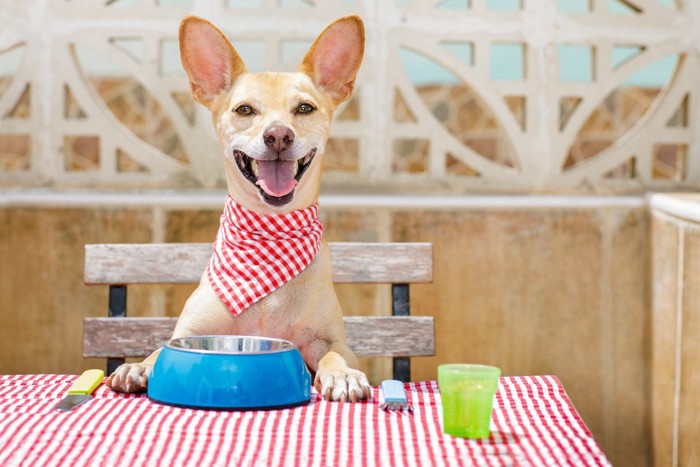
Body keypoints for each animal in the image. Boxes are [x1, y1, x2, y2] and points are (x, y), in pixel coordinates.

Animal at [105, 14, 372, 402]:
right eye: (244, 109)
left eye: (304, 108)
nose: (279, 135)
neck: (266, 234)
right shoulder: (188, 331)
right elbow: (158, 349)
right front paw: (137, 365)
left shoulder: (331, 339)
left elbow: (335, 354)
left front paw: (343, 375)